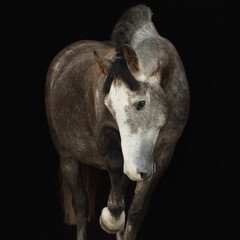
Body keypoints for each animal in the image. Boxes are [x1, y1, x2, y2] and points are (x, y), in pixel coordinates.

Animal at [45, 4, 189, 240]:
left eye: (141, 103)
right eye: (109, 106)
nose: (137, 171)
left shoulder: (164, 153)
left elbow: (136, 212)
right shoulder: (107, 137)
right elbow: (114, 164)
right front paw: (111, 218)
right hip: (66, 155)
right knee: (80, 202)